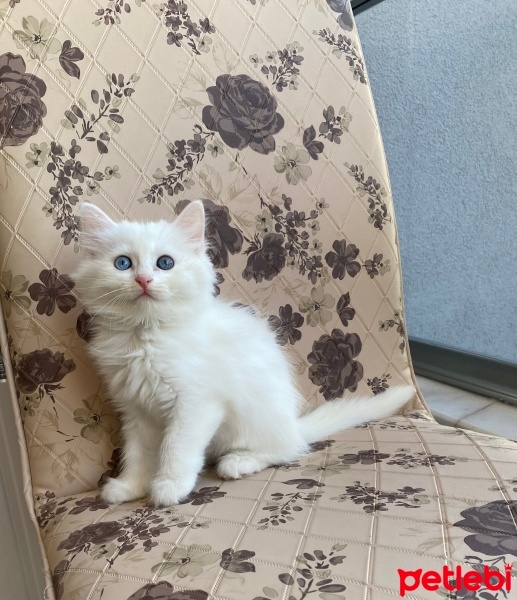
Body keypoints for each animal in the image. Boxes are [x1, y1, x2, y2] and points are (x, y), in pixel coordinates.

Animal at [72, 202, 414, 506]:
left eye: (165, 263)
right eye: (123, 264)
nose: (143, 280)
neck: (146, 337)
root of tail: (293, 424)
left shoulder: (196, 404)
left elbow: (176, 448)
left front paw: (170, 486)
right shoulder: (137, 411)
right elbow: (138, 455)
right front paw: (130, 486)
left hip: (254, 418)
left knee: (284, 450)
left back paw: (238, 462)